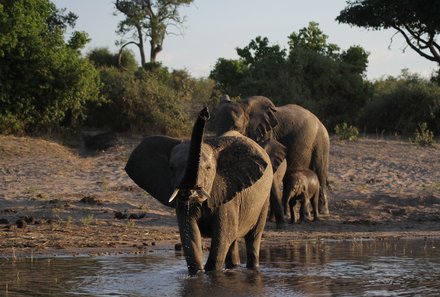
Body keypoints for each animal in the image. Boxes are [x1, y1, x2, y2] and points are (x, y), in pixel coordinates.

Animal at [124, 107, 274, 276]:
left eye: (208, 168)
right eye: (171, 168)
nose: (205, 112)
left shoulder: (227, 192)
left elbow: (223, 236)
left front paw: (211, 274)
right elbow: (190, 234)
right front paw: (197, 274)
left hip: (264, 199)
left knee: (253, 238)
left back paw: (252, 268)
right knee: (234, 241)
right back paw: (233, 267)